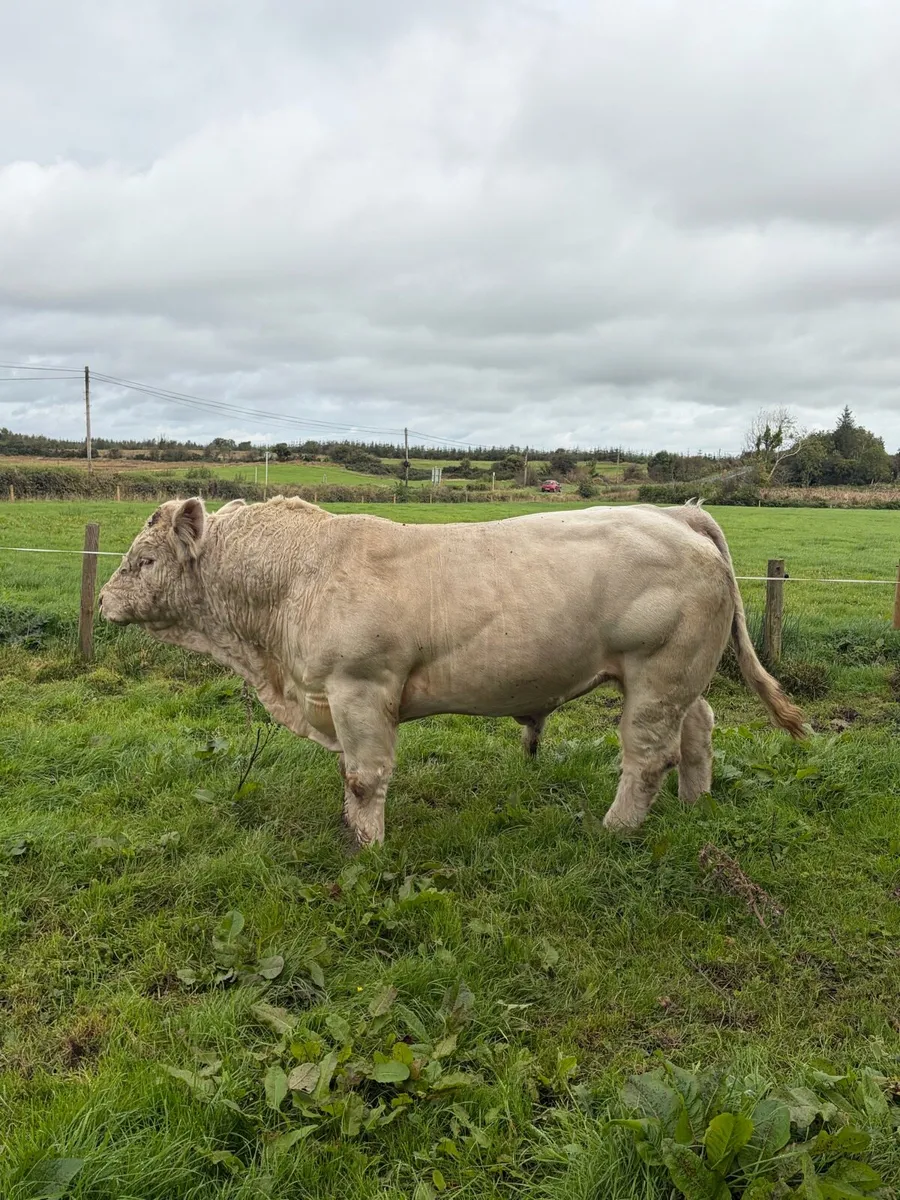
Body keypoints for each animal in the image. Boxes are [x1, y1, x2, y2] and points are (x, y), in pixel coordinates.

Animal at [99, 497, 805, 848]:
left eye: (144, 559)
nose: (104, 598)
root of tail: (679, 517)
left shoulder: (360, 688)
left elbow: (364, 777)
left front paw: (367, 847)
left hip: (657, 676)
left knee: (648, 757)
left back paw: (616, 830)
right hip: (680, 678)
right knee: (699, 730)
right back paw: (694, 804)